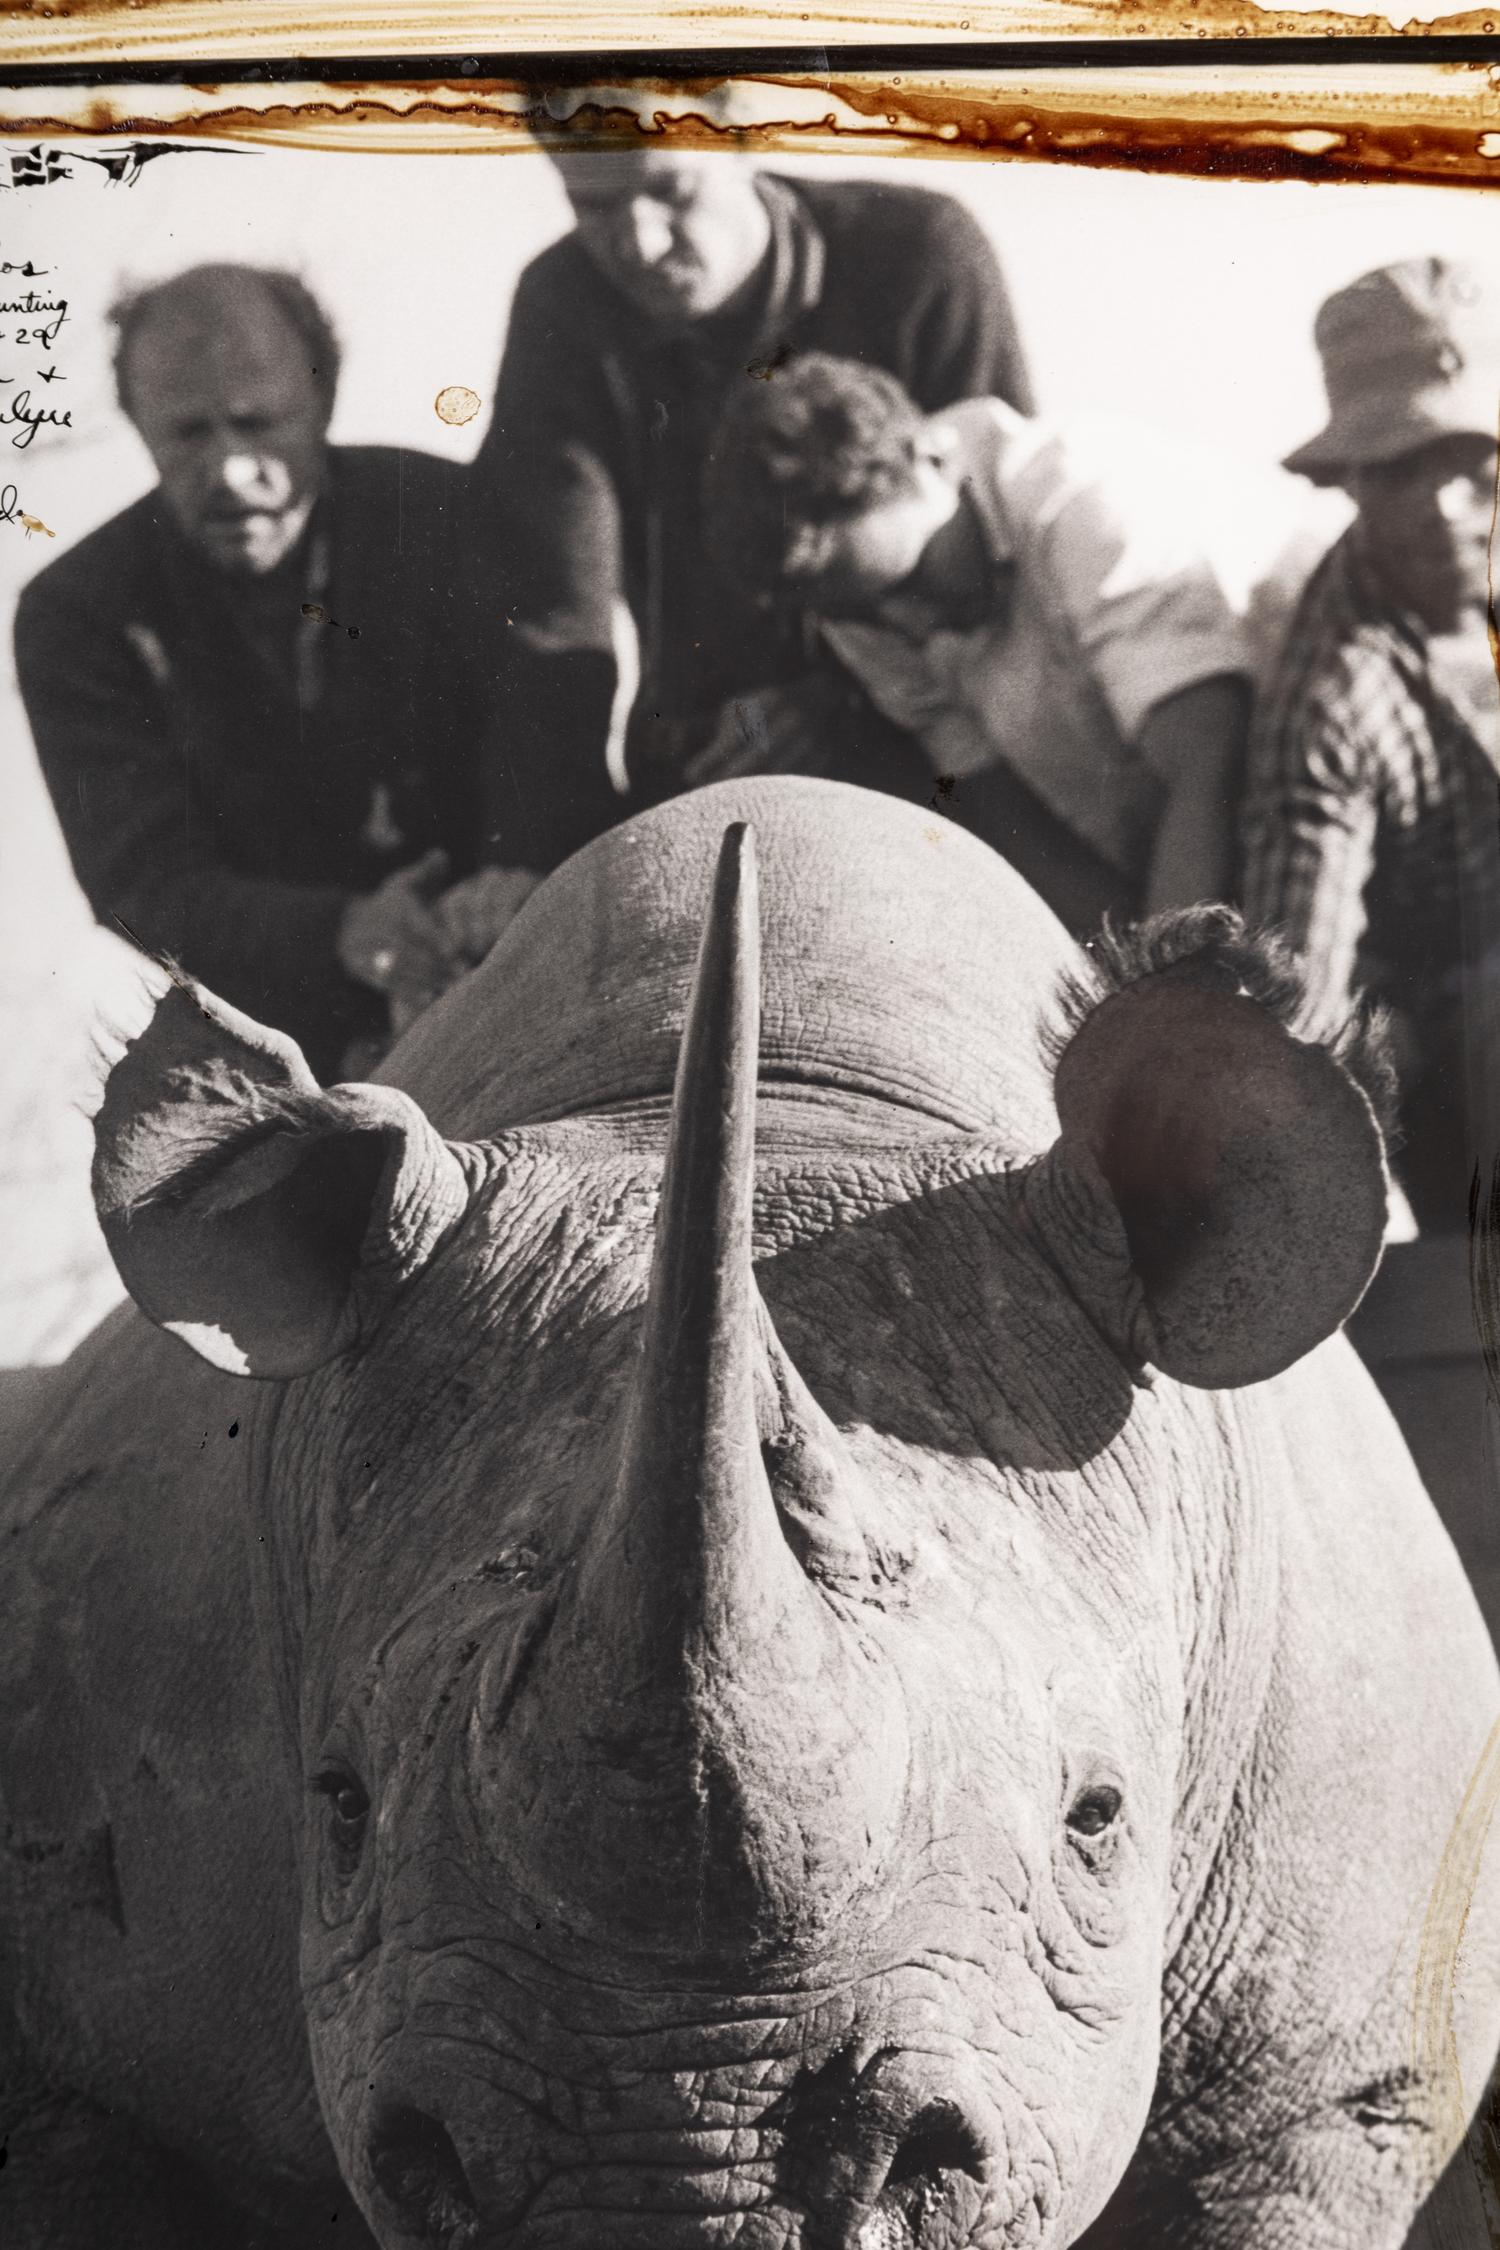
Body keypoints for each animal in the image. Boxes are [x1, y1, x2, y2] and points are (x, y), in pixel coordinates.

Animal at [2, 776, 1498, 2250]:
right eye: (339, 1807)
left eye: (1100, 1818)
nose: (681, 2181)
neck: (809, 1104)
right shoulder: (91, 2067)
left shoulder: (1323, 2093)